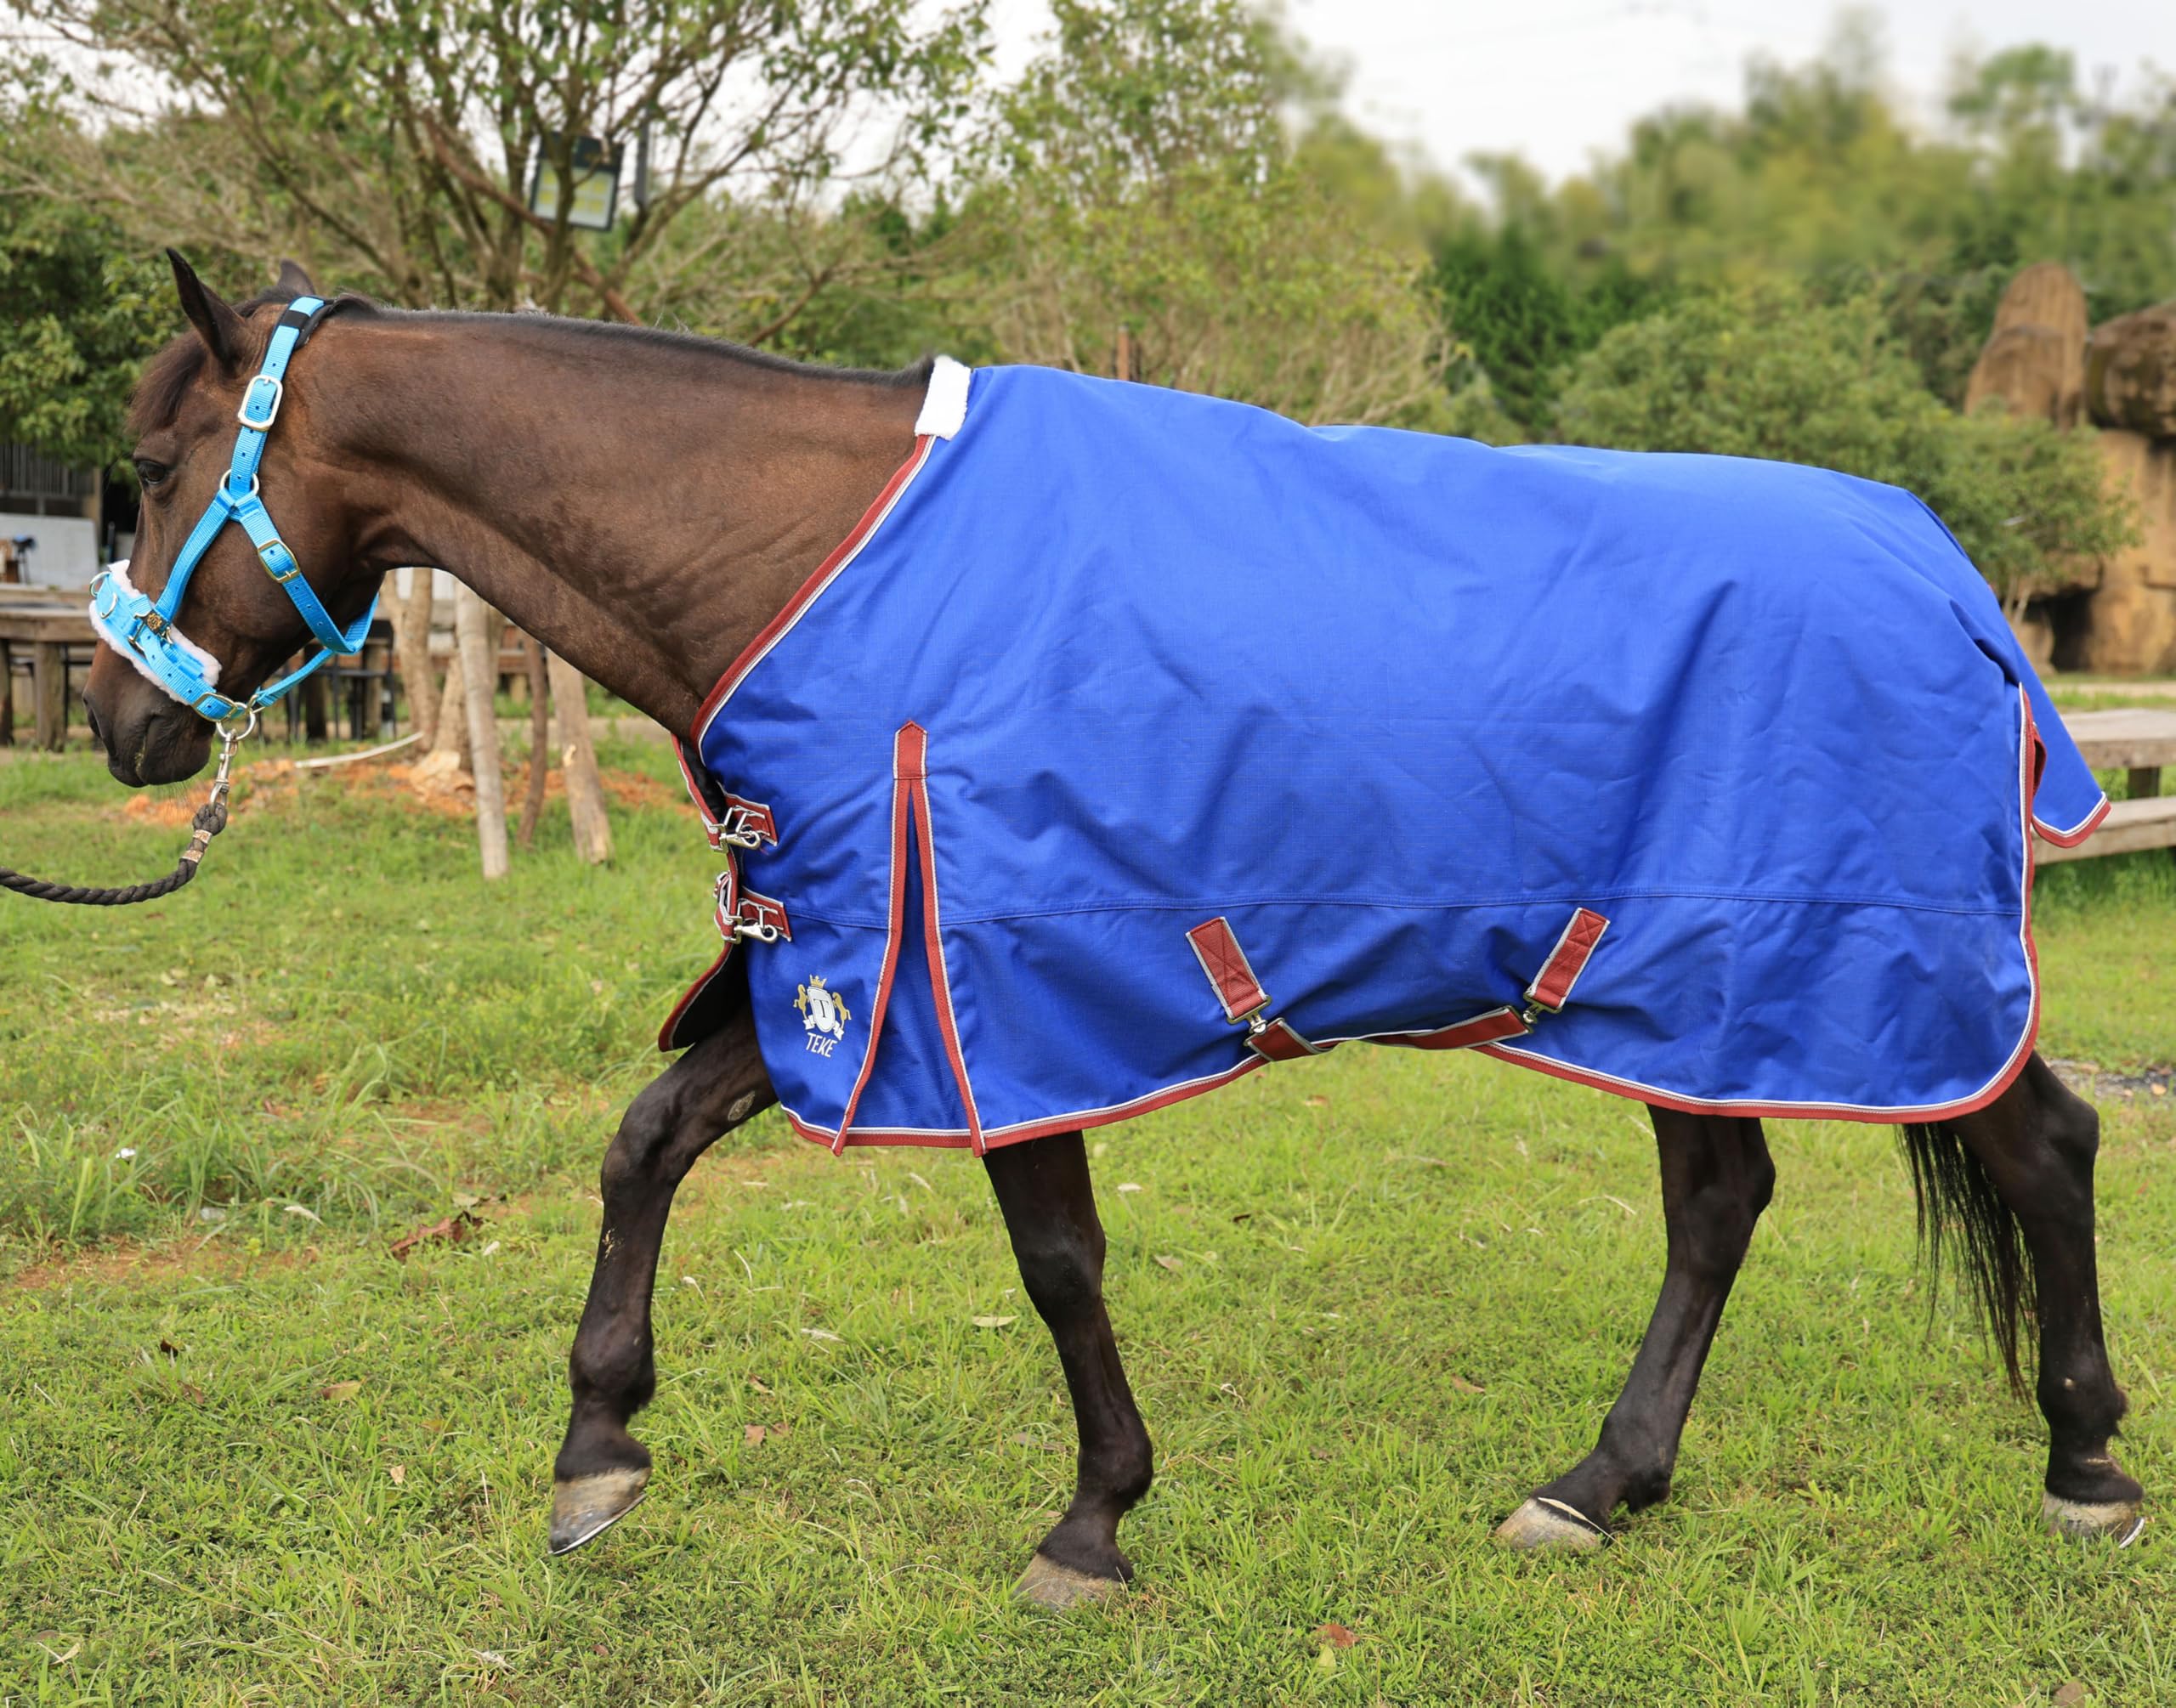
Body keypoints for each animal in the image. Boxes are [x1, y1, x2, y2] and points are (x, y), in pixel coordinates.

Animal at [83, 255, 2145, 1607]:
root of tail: (1950, 576)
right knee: (1725, 1204)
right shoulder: (843, 966)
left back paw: (2085, 1465)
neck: (808, 556)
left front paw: (1089, 1525)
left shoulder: (986, 984)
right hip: (1675, 991)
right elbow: (645, 1141)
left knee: (2039, 1144)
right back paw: (1596, 1487)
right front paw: (601, 1454)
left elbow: (1055, 1260)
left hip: (1814, 969)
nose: (119, 722)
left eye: (154, 463)